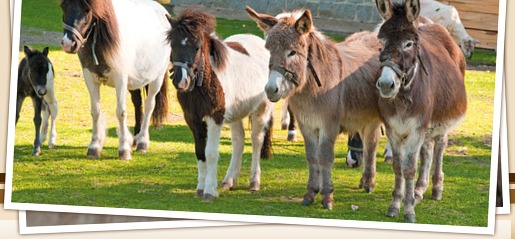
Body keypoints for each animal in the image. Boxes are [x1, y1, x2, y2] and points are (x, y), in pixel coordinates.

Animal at [58, 0, 170, 161]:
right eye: (63, 7)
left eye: (87, 11)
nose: (68, 44)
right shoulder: (90, 79)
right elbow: (95, 111)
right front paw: (94, 147)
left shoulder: (120, 80)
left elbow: (121, 112)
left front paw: (124, 149)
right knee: (138, 103)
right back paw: (135, 139)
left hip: (157, 79)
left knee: (149, 105)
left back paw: (142, 142)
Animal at [167, 8, 276, 202]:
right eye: (173, 46)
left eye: (197, 47)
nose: (181, 81)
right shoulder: (193, 121)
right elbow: (200, 152)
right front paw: (200, 189)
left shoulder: (214, 119)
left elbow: (210, 153)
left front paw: (210, 191)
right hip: (236, 114)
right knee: (238, 140)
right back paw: (228, 181)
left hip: (261, 111)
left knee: (256, 141)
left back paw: (254, 182)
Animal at [248, 4, 384, 208]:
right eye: (268, 51)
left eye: (292, 52)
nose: (271, 89)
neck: (312, 87)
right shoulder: (307, 125)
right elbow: (312, 156)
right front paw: (311, 193)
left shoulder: (329, 125)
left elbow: (325, 157)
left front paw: (327, 196)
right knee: (369, 144)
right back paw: (364, 181)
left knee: (372, 144)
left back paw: (369, 183)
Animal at [374, 0, 468, 222]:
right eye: (380, 41)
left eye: (408, 44)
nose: (386, 85)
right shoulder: (393, 128)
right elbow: (398, 166)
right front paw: (395, 204)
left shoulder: (417, 128)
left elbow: (409, 168)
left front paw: (408, 210)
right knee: (427, 150)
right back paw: (419, 190)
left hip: (440, 121)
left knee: (440, 146)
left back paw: (436, 187)